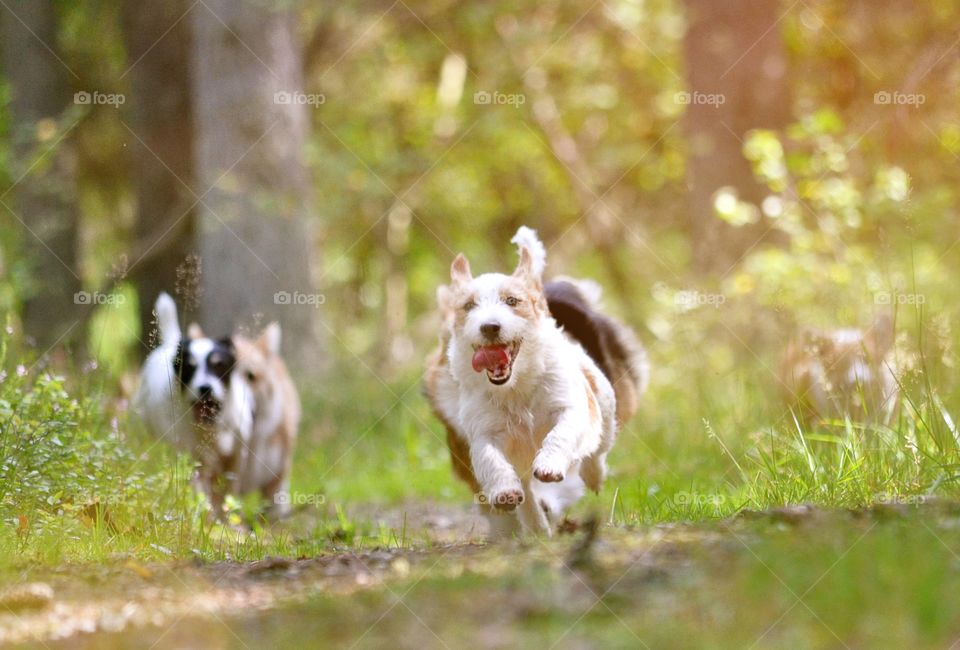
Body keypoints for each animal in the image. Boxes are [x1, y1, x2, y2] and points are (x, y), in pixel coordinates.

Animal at [424, 225, 648, 536]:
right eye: (468, 305)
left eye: (512, 301)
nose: (489, 326)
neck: (515, 387)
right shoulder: (483, 433)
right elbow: (490, 459)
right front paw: (506, 495)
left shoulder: (569, 409)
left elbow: (561, 435)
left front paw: (551, 465)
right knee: (528, 492)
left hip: (604, 405)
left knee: (598, 448)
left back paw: (593, 475)